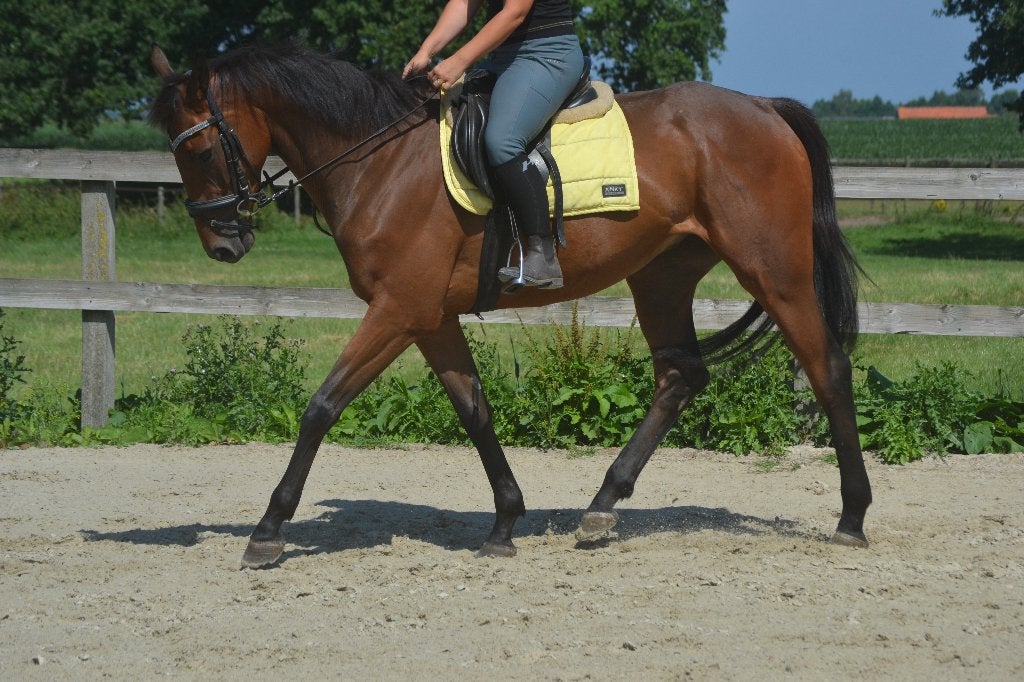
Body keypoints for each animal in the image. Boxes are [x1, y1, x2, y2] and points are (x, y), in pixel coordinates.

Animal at [149, 43, 871, 568]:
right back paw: (602, 506)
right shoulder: (429, 317)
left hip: (775, 273)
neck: (381, 162)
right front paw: (504, 521)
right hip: (662, 277)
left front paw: (268, 529)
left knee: (827, 369)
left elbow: (322, 406)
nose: (221, 242)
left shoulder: (397, 310)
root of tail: (763, 107)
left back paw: (852, 516)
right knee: (680, 375)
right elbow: (475, 410)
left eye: (200, 147)